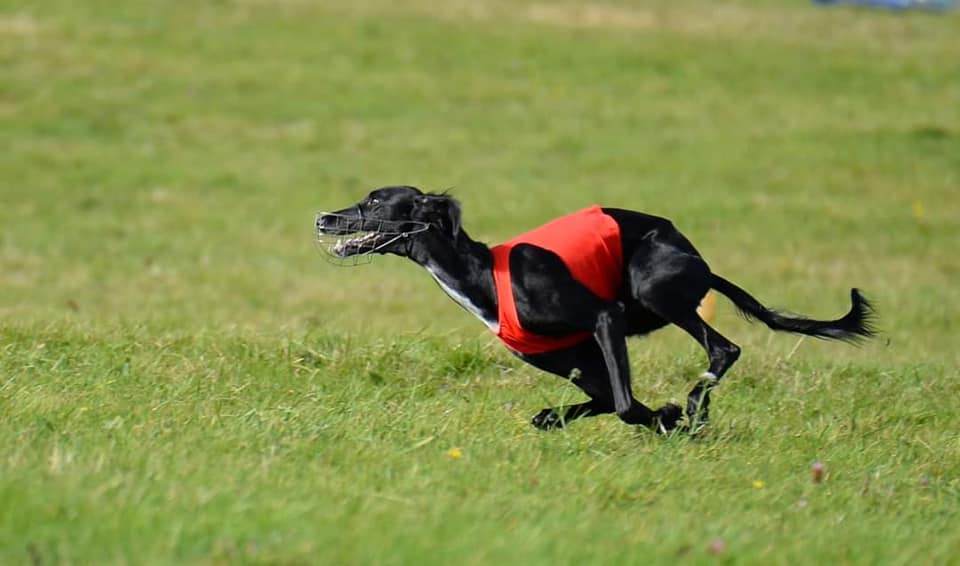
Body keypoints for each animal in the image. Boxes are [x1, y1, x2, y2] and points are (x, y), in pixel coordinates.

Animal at [316, 186, 876, 434]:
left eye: (375, 201)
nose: (324, 218)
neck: (483, 276)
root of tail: (700, 261)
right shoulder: (578, 361)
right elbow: (601, 405)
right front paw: (669, 420)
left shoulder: (605, 318)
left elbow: (626, 406)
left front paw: (676, 417)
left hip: (653, 286)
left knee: (724, 347)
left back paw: (696, 405)